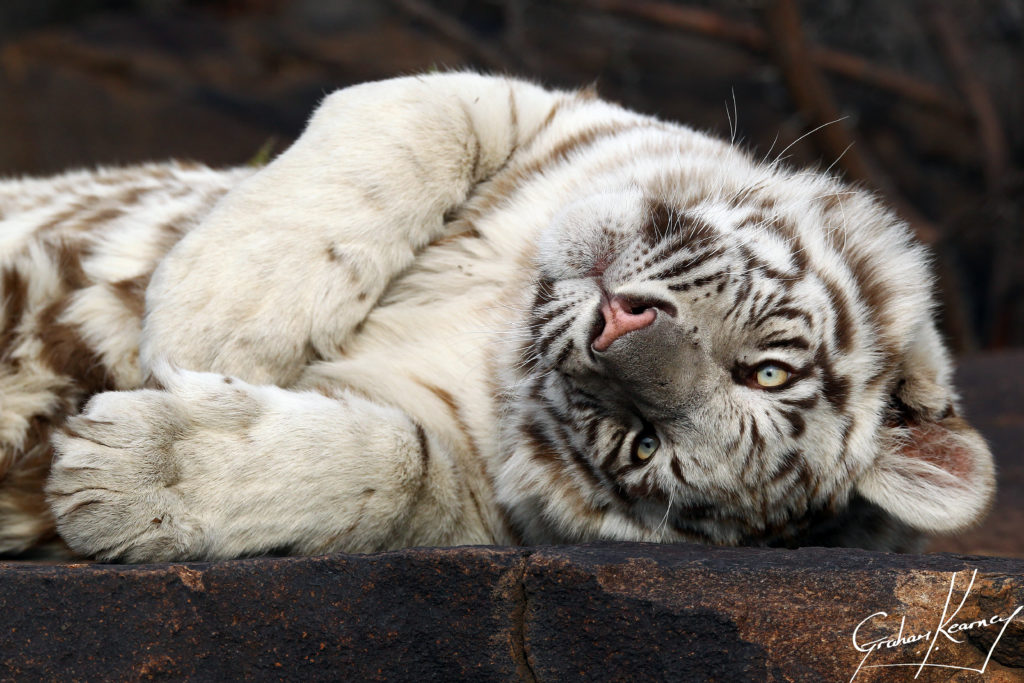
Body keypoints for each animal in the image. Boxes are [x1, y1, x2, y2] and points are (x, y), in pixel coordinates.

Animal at [0, 73, 991, 561]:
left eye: (647, 443)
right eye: (769, 368)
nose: (616, 331)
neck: (498, 322)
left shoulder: (454, 478)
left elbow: (380, 465)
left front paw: (130, 472)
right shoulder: (522, 105)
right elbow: (417, 128)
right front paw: (217, 310)